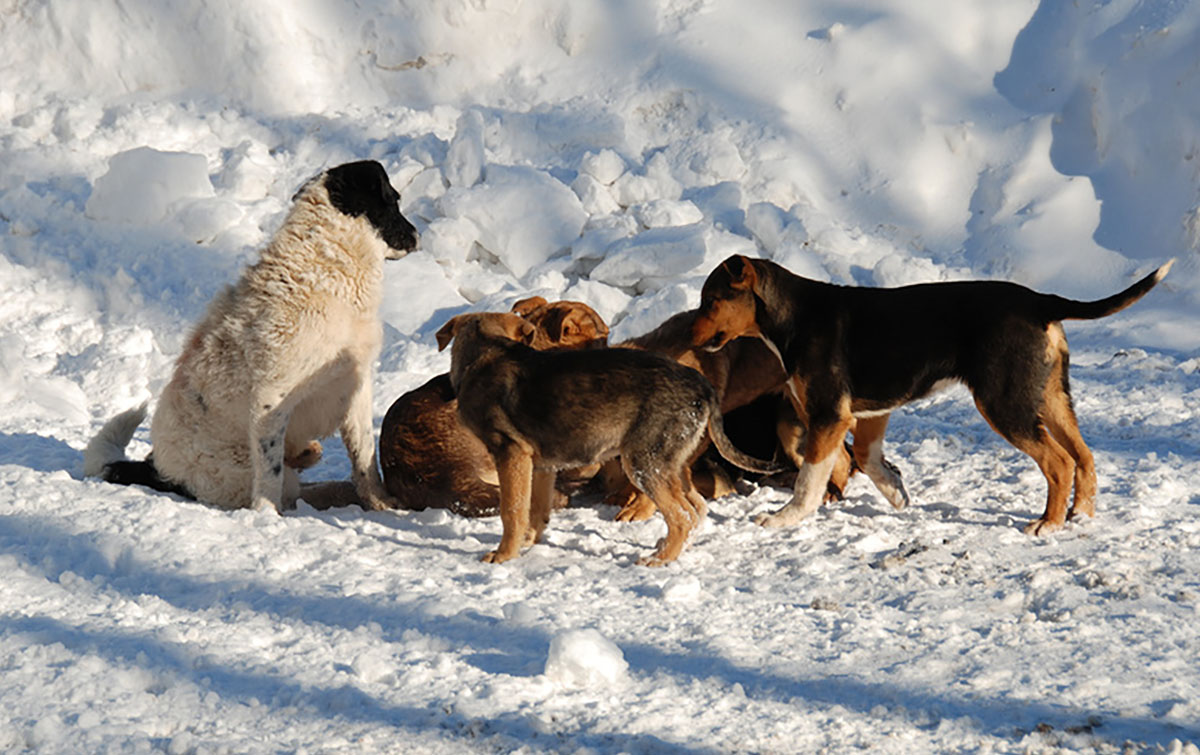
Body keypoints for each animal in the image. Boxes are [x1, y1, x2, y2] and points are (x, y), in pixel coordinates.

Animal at [87, 158, 420, 511]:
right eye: (393, 200)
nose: (417, 235)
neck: (330, 267)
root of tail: (160, 470)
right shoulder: (272, 395)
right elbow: (270, 472)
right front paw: (266, 515)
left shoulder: (356, 384)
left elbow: (363, 454)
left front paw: (381, 502)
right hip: (235, 469)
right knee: (289, 486)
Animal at [436, 309, 782, 561]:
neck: (483, 355)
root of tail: (701, 385)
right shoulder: (542, 465)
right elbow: (537, 510)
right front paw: (530, 543)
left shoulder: (510, 453)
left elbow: (512, 511)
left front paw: (503, 556)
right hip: (672, 463)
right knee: (696, 509)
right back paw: (667, 548)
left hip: (643, 462)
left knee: (682, 516)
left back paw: (660, 560)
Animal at [696, 254, 1171, 535]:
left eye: (712, 301)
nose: (692, 339)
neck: (792, 317)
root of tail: (1041, 302)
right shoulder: (869, 413)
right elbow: (866, 458)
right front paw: (897, 495)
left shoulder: (829, 415)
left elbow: (809, 480)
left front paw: (784, 519)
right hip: (1049, 396)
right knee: (1085, 457)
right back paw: (1080, 516)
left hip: (1005, 402)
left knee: (1059, 462)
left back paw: (1047, 524)